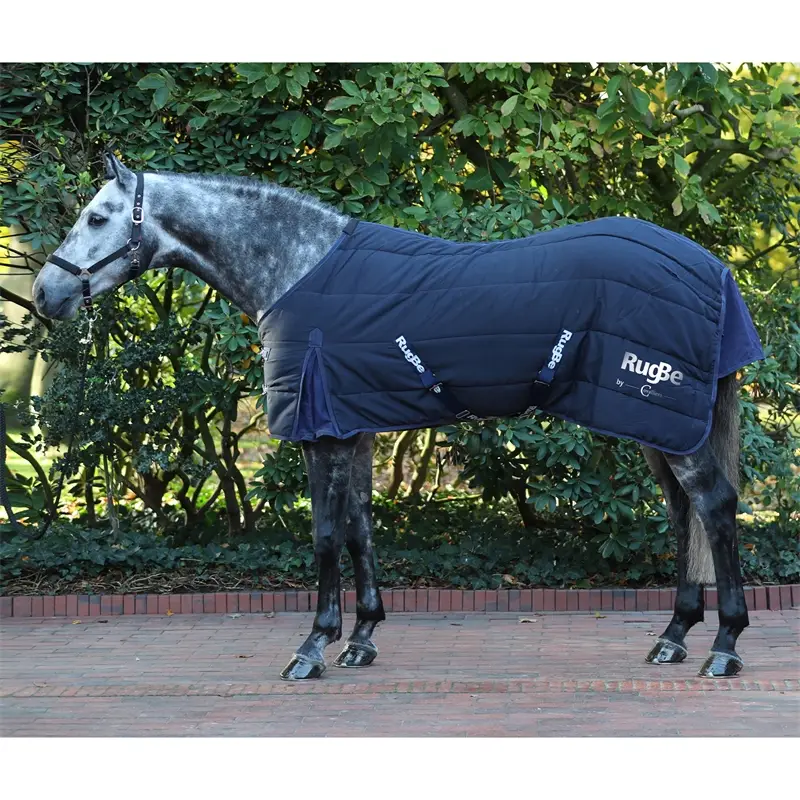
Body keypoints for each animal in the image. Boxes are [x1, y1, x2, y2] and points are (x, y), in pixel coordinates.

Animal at [32, 152, 760, 680]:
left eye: (97, 217)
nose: (45, 294)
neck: (296, 267)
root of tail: (711, 268)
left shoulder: (320, 433)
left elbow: (326, 536)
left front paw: (313, 647)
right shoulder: (349, 427)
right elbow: (361, 529)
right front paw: (361, 638)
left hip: (667, 419)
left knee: (715, 507)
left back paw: (724, 645)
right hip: (654, 424)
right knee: (684, 515)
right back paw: (674, 636)